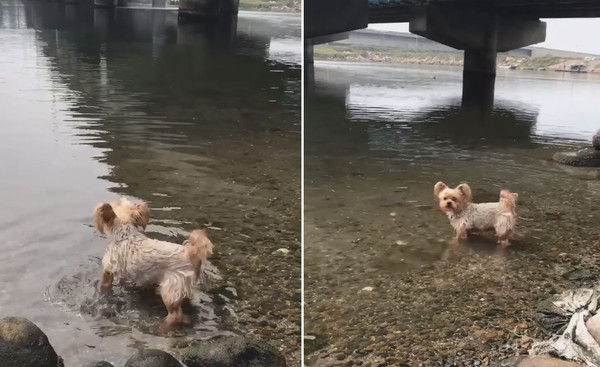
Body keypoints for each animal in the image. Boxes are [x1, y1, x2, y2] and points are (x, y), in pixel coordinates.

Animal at [92, 198, 214, 330]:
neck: (126, 234)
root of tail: (190, 252)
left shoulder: (108, 269)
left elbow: (104, 285)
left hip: (170, 289)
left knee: (175, 315)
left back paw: (161, 326)